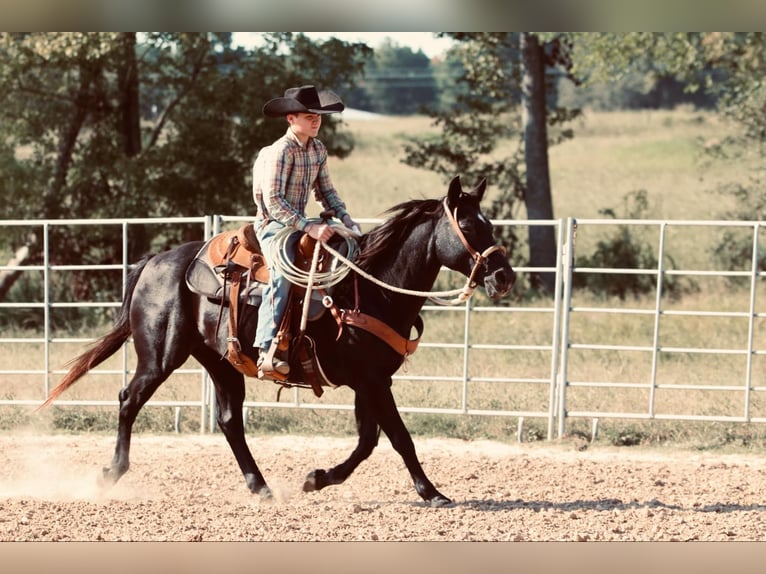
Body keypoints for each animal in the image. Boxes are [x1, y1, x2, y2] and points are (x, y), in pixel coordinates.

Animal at [40, 176, 516, 508]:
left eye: (489, 224)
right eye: (469, 225)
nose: (504, 276)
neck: (371, 287)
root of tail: (156, 261)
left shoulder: (372, 381)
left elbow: (368, 441)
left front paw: (317, 478)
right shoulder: (372, 381)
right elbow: (399, 437)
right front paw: (432, 492)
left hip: (221, 362)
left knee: (229, 421)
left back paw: (262, 487)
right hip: (160, 355)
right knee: (129, 400)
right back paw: (111, 473)